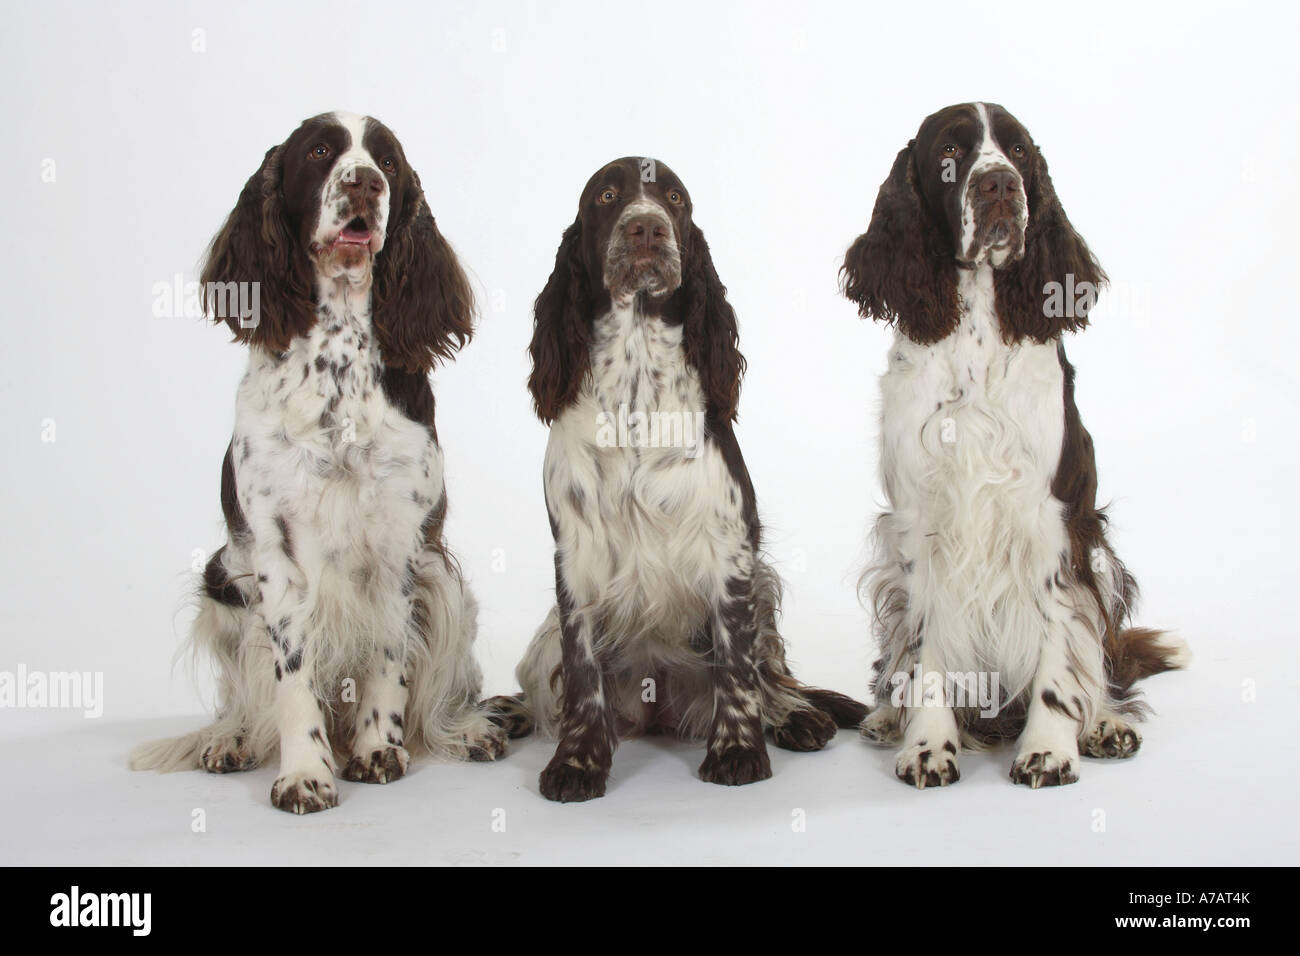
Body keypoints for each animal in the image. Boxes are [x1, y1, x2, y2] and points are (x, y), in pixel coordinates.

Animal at [842, 104, 1190, 790]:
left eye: (1021, 151)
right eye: (950, 151)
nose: (999, 184)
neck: (977, 322)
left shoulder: (1050, 522)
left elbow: (1061, 645)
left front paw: (1050, 748)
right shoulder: (920, 525)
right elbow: (924, 651)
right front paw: (928, 745)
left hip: (1100, 560)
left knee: (1097, 651)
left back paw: (1104, 723)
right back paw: (886, 716)